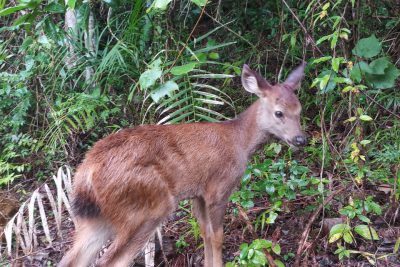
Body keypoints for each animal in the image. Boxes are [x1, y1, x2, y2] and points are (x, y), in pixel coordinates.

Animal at [57, 62, 306, 267]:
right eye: (279, 113)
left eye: (299, 110)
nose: (300, 139)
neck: (240, 142)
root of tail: (86, 173)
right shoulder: (218, 189)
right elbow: (218, 236)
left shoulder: (198, 194)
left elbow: (205, 234)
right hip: (145, 207)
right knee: (111, 261)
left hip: (93, 219)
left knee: (70, 260)